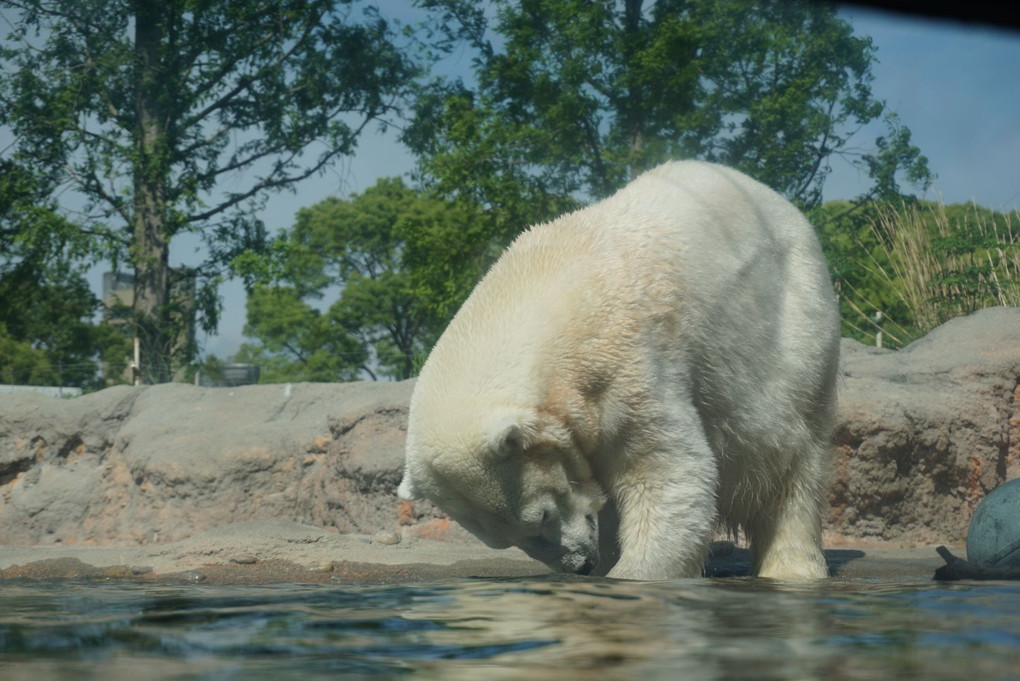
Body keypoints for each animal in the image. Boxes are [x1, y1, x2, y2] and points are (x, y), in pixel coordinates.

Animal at [395, 160, 836, 579]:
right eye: (508, 540)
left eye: (542, 515)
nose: (578, 565)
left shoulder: (624, 365)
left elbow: (666, 471)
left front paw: (630, 575)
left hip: (794, 329)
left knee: (791, 460)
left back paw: (792, 567)